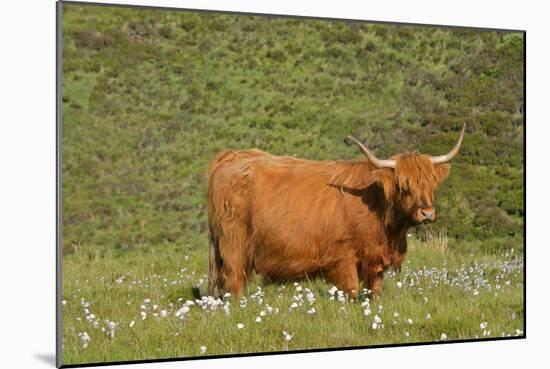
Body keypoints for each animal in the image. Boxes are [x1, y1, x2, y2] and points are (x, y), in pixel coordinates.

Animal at [207, 123, 466, 296]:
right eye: (404, 186)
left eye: (430, 184)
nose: (427, 213)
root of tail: (233, 157)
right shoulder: (342, 258)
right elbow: (351, 291)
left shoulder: (375, 261)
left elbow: (375, 293)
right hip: (234, 245)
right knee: (235, 282)